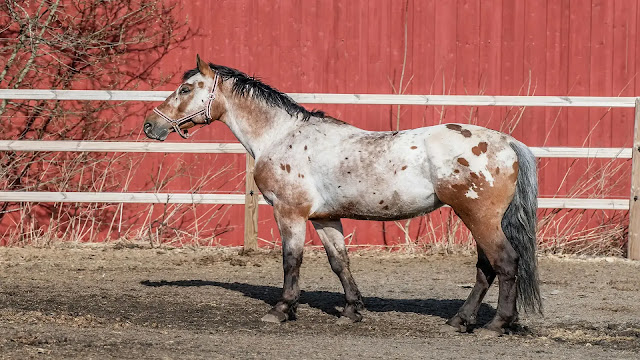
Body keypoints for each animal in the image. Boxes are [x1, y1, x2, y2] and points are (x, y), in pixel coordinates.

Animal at [144, 55, 540, 334]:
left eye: (185, 89)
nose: (151, 125)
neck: (280, 135)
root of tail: (506, 142)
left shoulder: (289, 213)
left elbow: (291, 261)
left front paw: (281, 310)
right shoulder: (325, 218)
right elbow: (340, 263)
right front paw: (352, 311)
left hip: (479, 216)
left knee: (505, 263)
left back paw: (494, 326)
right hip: (478, 218)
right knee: (486, 268)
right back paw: (460, 320)